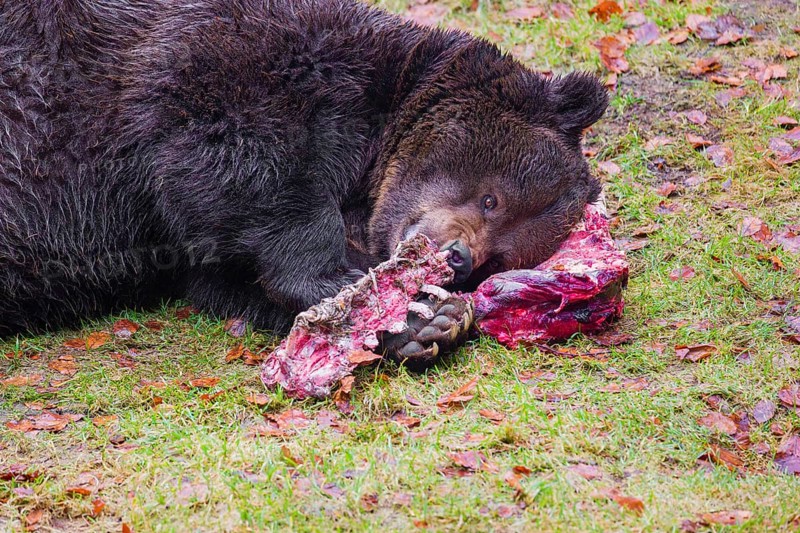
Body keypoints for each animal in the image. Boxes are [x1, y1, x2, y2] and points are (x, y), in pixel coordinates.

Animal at [0, 0, 606, 364]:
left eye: (500, 257)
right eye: (491, 198)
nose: (458, 258)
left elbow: (228, 279)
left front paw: (426, 318)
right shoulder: (231, 61)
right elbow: (250, 164)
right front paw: (346, 279)